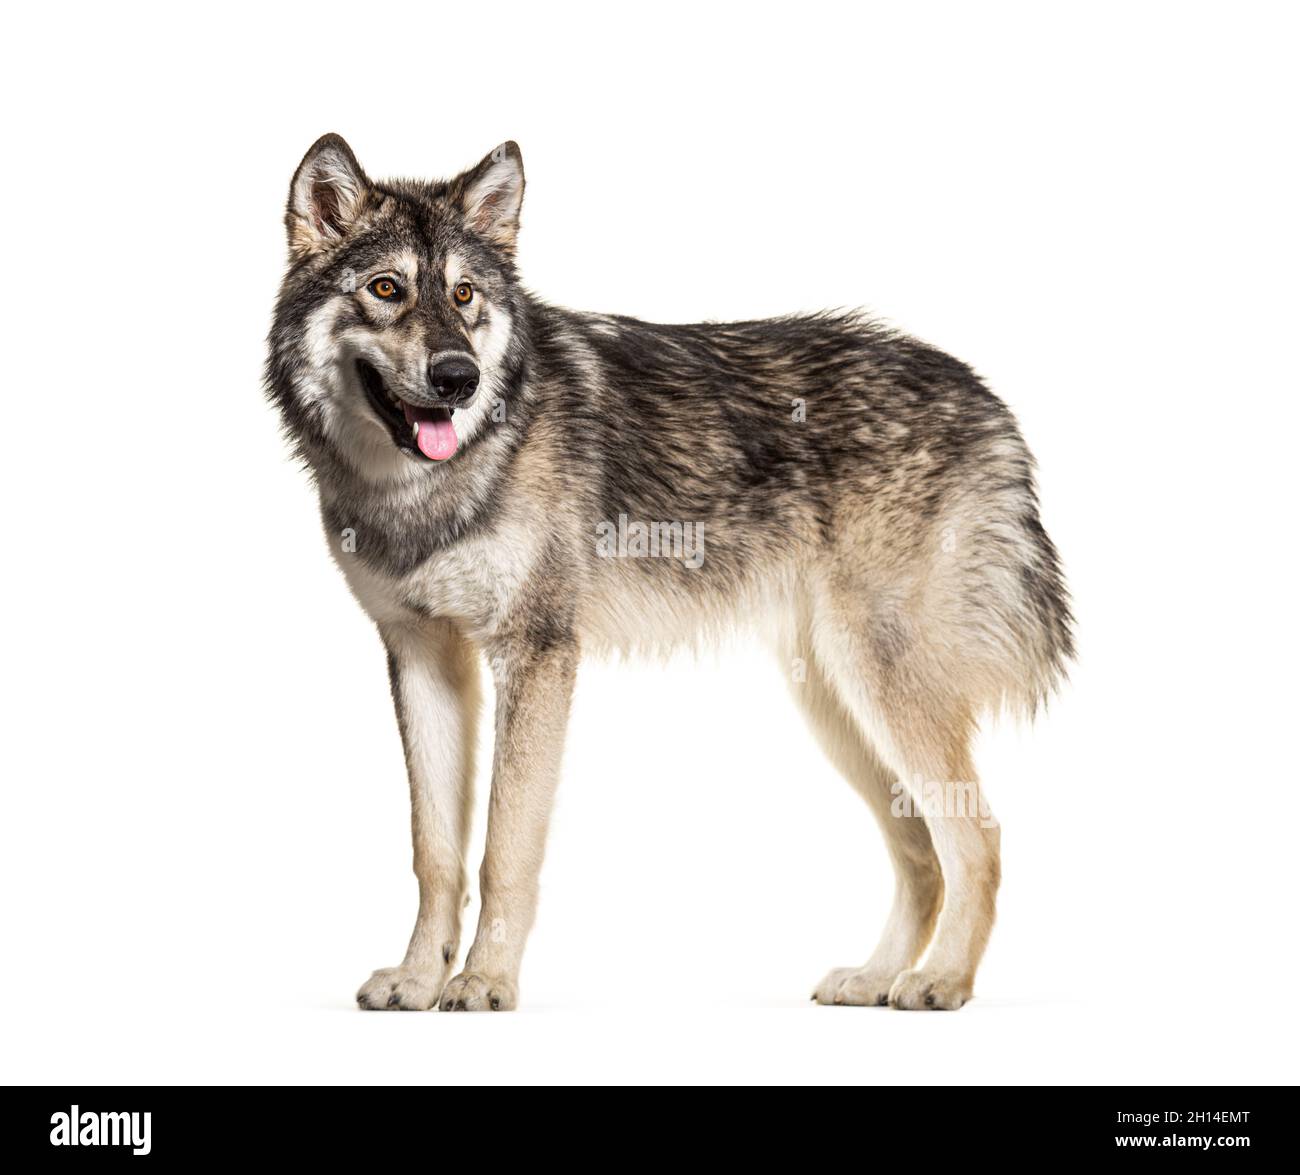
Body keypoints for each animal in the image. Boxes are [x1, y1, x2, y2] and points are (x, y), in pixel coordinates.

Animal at [266, 135, 1073, 1012]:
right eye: (387, 289)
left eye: (464, 294)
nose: (458, 378)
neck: (430, 490)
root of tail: (986, 396)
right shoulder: (421, 657)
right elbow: (435, 851)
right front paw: (418, 978)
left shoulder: (537, 653)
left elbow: (504, 846)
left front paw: (483, 980)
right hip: (839, 703)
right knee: (923, 853)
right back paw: (875, 977)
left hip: (882, 687)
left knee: (977, 837)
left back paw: (940, 981)